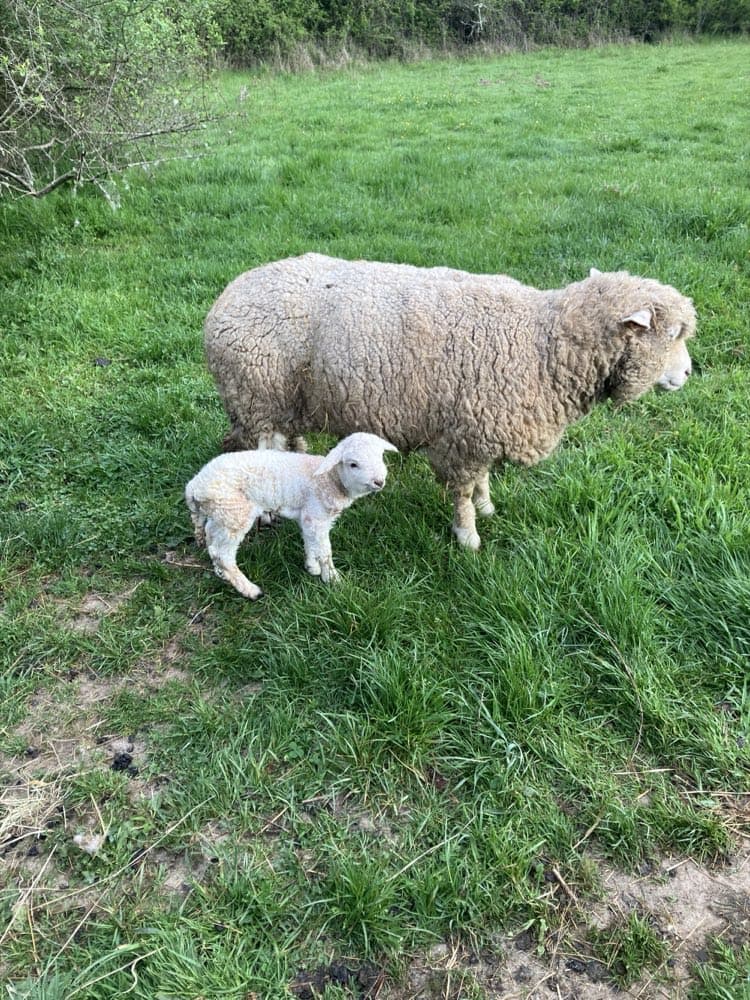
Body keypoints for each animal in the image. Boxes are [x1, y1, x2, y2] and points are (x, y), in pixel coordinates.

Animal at [185, 432, 398, 599]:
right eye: (353, 464)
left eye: (381, 456)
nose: (379, 481)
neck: (330, 479)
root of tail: (194, 487)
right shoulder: (316, 515)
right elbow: (324, 550)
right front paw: (332, 579)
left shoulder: (309, 516)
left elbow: (310, 541)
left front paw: (312, 566)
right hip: (234, 512)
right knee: (223, 554)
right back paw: (250, 590)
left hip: (220, 514)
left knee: (211, 541)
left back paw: (221, 573)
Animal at [204, 254, 695, 550]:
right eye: (673, 334)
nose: (689, 374)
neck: (543, 344)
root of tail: (224, 299)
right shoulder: (464, 435)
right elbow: (461, 491)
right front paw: (468, 536)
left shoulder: (481, 428)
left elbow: (481, 480)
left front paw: (487, 506)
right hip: (256, 393)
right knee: (257, 448)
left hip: (288, 398)